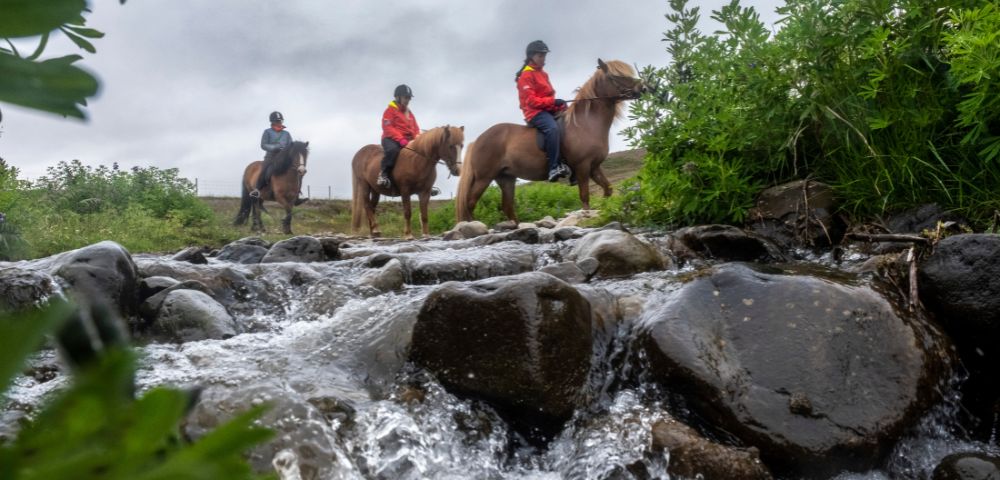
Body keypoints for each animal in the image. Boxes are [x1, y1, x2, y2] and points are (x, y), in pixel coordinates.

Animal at [455, 59, 645, 223]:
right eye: (616, 76)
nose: (642, 87)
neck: (586, 123)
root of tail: (478, 140)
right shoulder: (582, 166)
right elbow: (585, 197)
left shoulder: (594, 167)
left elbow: (608, 189)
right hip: (484, 178)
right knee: (470, 203)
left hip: (506, 178)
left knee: (507, 206)